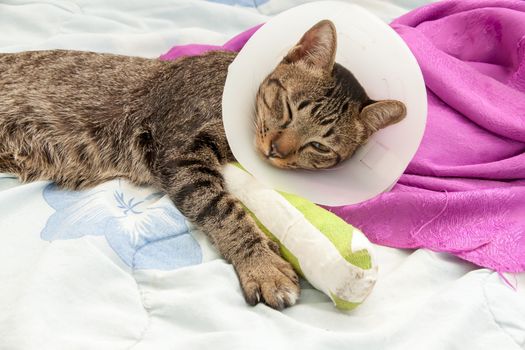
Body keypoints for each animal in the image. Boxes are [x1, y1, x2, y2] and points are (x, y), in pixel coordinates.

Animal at [0, 19, 406, 308]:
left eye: (319, 146)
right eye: (288, 107)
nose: (275, 150)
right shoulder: (176, 150)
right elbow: (224, 209)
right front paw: (262, 266)